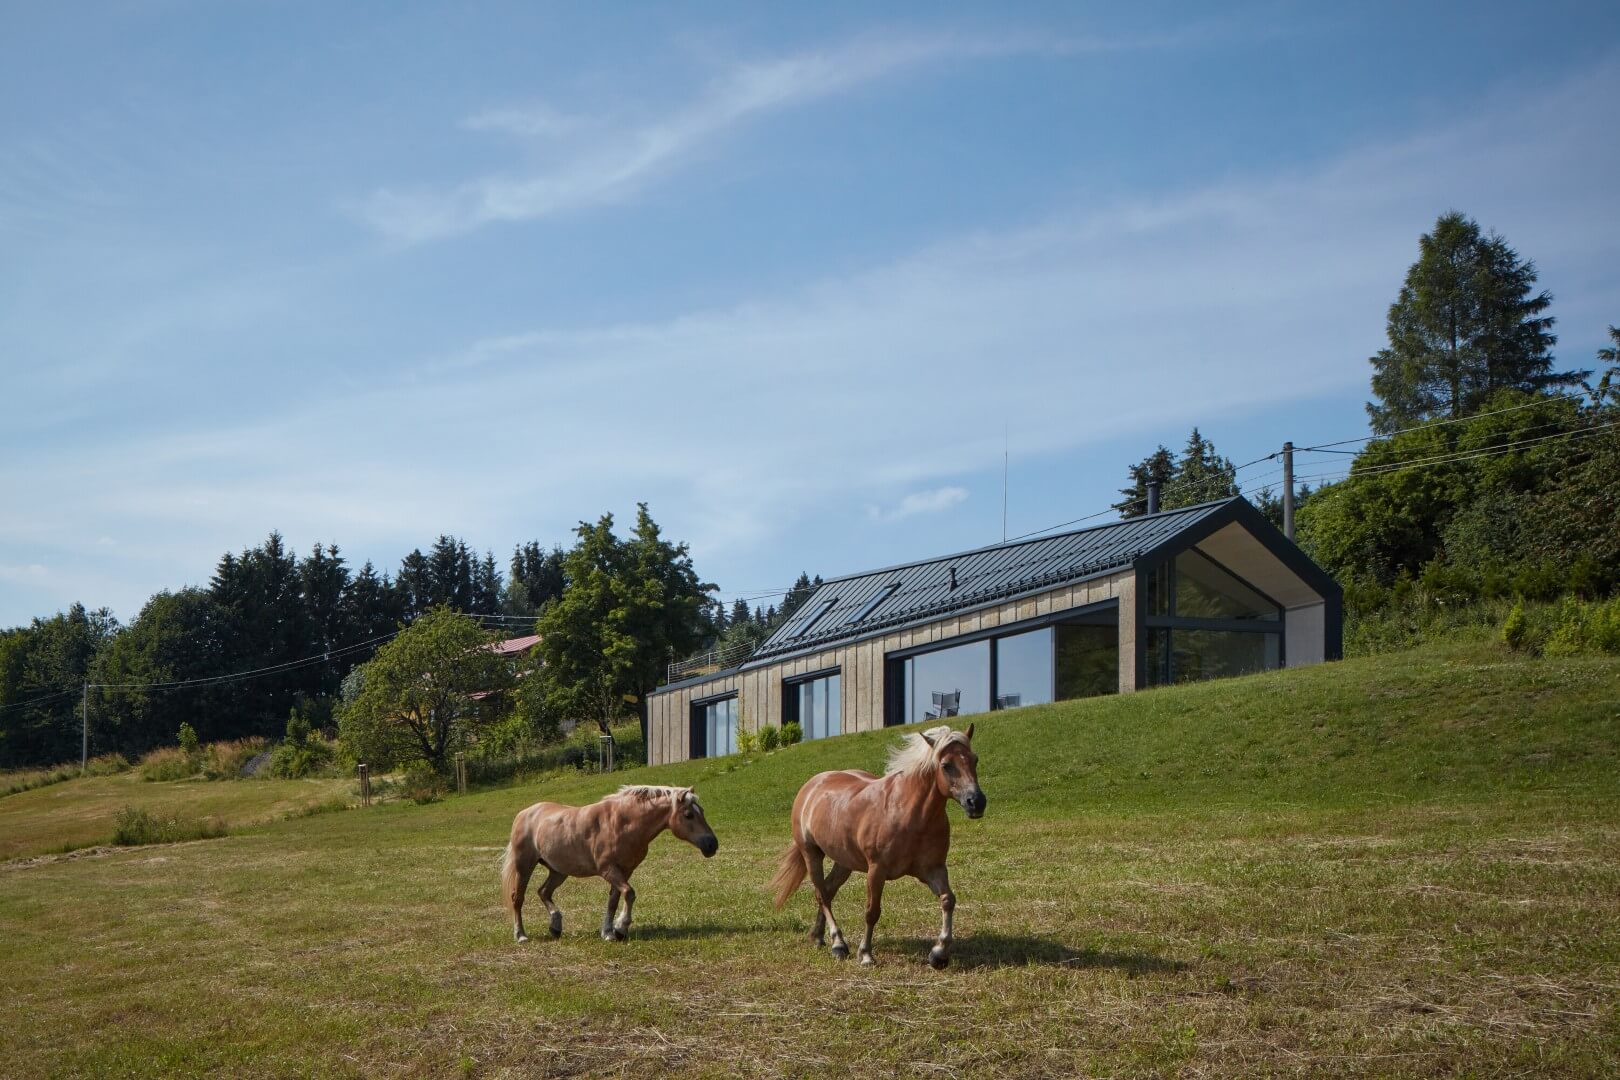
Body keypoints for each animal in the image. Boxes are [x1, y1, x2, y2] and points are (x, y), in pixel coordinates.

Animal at [498, 786, 716, 945]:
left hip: (559, 871)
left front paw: (608, 932)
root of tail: (525, 813)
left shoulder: (625, 871)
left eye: (703, 811)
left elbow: (614, 900)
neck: (622, 824)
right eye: (688, 814)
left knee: (543, 892)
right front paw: (620, 929)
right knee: (518, 898)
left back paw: (555, 927)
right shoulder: (608, 870)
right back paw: (521, 935)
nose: (712, 844)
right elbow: (629, 893)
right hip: (524, 866)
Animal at [771, 725, 984, 971]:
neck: (908, 813)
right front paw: (865, 955)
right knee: (822, 895)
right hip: (811, 853)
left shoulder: (934, 869)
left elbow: (948, 900)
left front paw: (939, 954)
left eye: (974, 759)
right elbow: (872, 912)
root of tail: (812, 785)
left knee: (828, 890)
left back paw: (819, 937)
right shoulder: (876, 870)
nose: (976, 802)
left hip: (844, 862)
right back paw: (838, 944)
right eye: (946, 765)